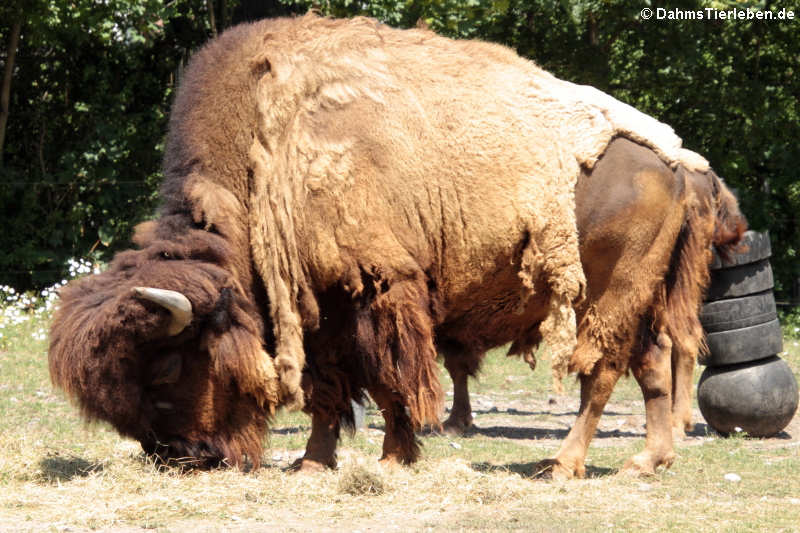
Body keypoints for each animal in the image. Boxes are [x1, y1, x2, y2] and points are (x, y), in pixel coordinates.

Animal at [48, 13, 744, 478]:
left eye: (167, 368)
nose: (181, 457)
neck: (260, 155)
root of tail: (677, 162)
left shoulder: (376, 288)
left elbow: (388, 380)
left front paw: (389, 457)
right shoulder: (321, 307)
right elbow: (329, 389)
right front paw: (312, 463)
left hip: (608, 296)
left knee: (601, 372)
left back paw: (564, 465)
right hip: (641, 297)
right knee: (652, 363)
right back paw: (646, 462)